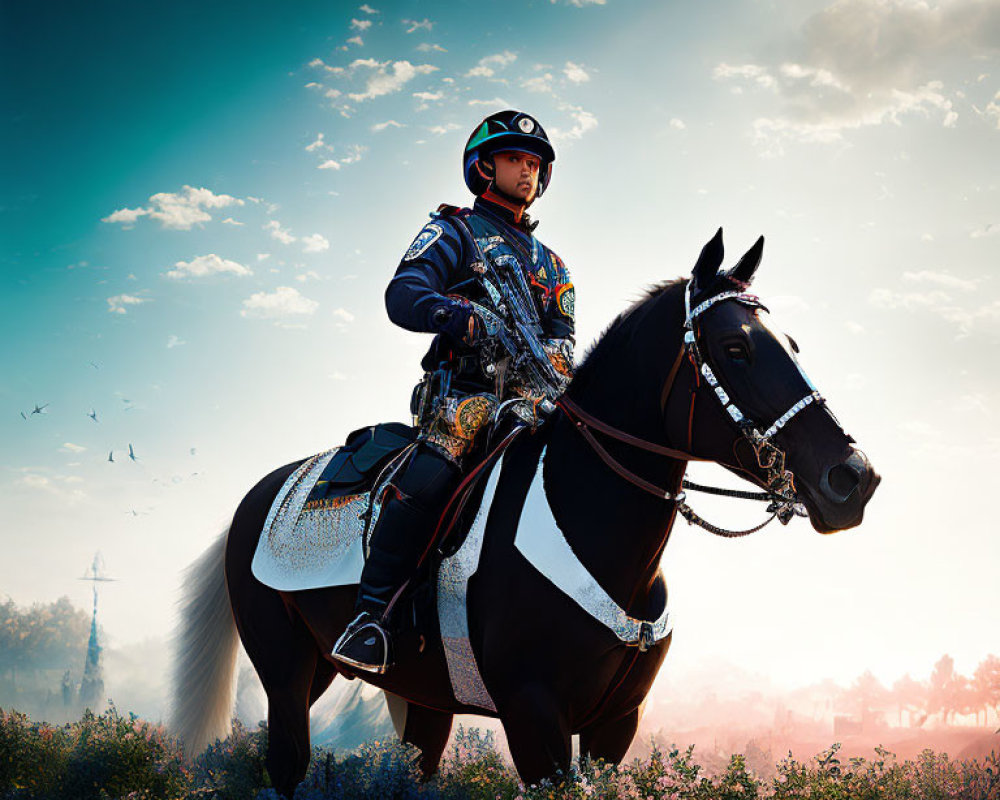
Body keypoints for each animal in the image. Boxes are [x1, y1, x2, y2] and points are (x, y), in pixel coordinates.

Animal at [170, 230, 876, 792]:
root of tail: (256, 497)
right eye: (735, 348)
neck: (592, 527)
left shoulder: (614, 726)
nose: (853, 478)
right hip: (289, 673)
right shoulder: (534, 717)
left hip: (419, 697)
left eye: (790, 342)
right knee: (286, 761)